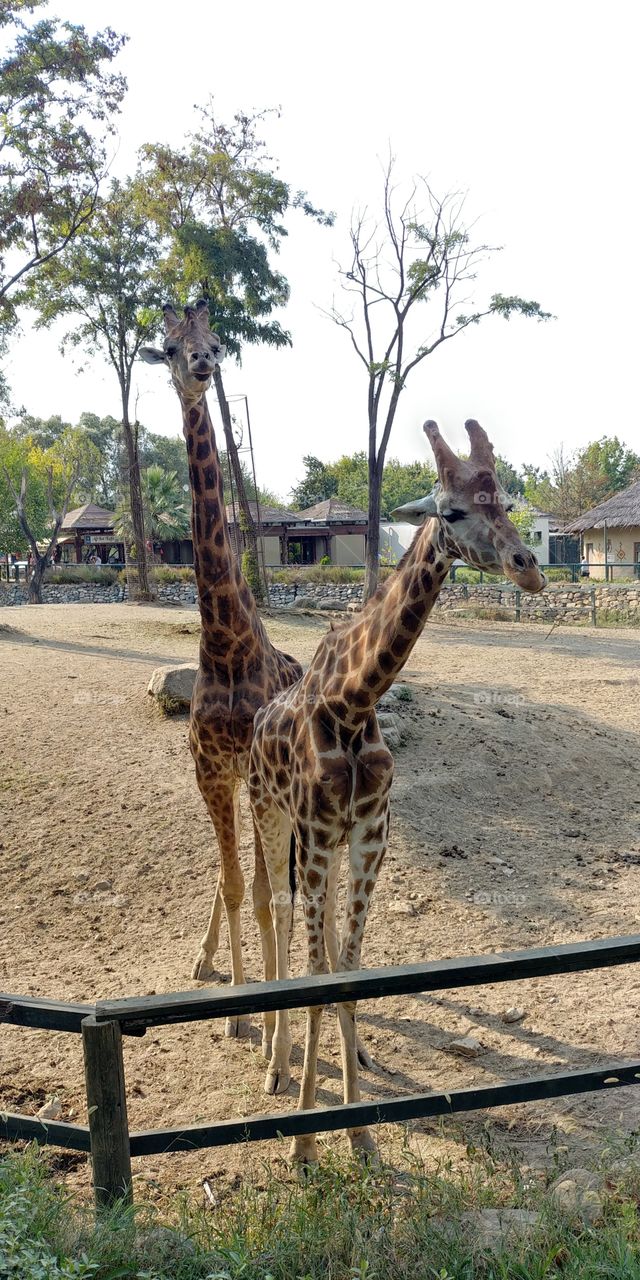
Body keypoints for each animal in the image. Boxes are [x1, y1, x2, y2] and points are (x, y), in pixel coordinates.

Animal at [248, 417, 546, 1162]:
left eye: (506, 501)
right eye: (453, 511)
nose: (530, 567)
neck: (355, 701)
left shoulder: (369, 836)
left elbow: (348, 971)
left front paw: (358, 1135)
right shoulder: (318, 835)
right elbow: (316, 973)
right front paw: (304, 1144)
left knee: (307, 926)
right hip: (268, 813)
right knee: (279, 917)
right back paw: (273, 1062)